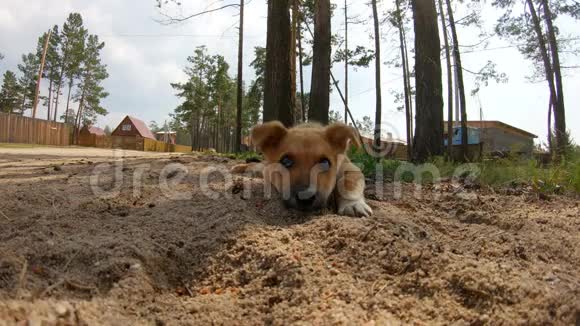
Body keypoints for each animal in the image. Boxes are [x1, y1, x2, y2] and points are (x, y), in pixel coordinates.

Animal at [233, 121, 374, 218]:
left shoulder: (350, 167)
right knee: (255, 166)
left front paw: (353, 204)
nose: (305, 197)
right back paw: (238, 168)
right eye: (286, 161)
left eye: (325, 163)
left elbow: (348, 182)